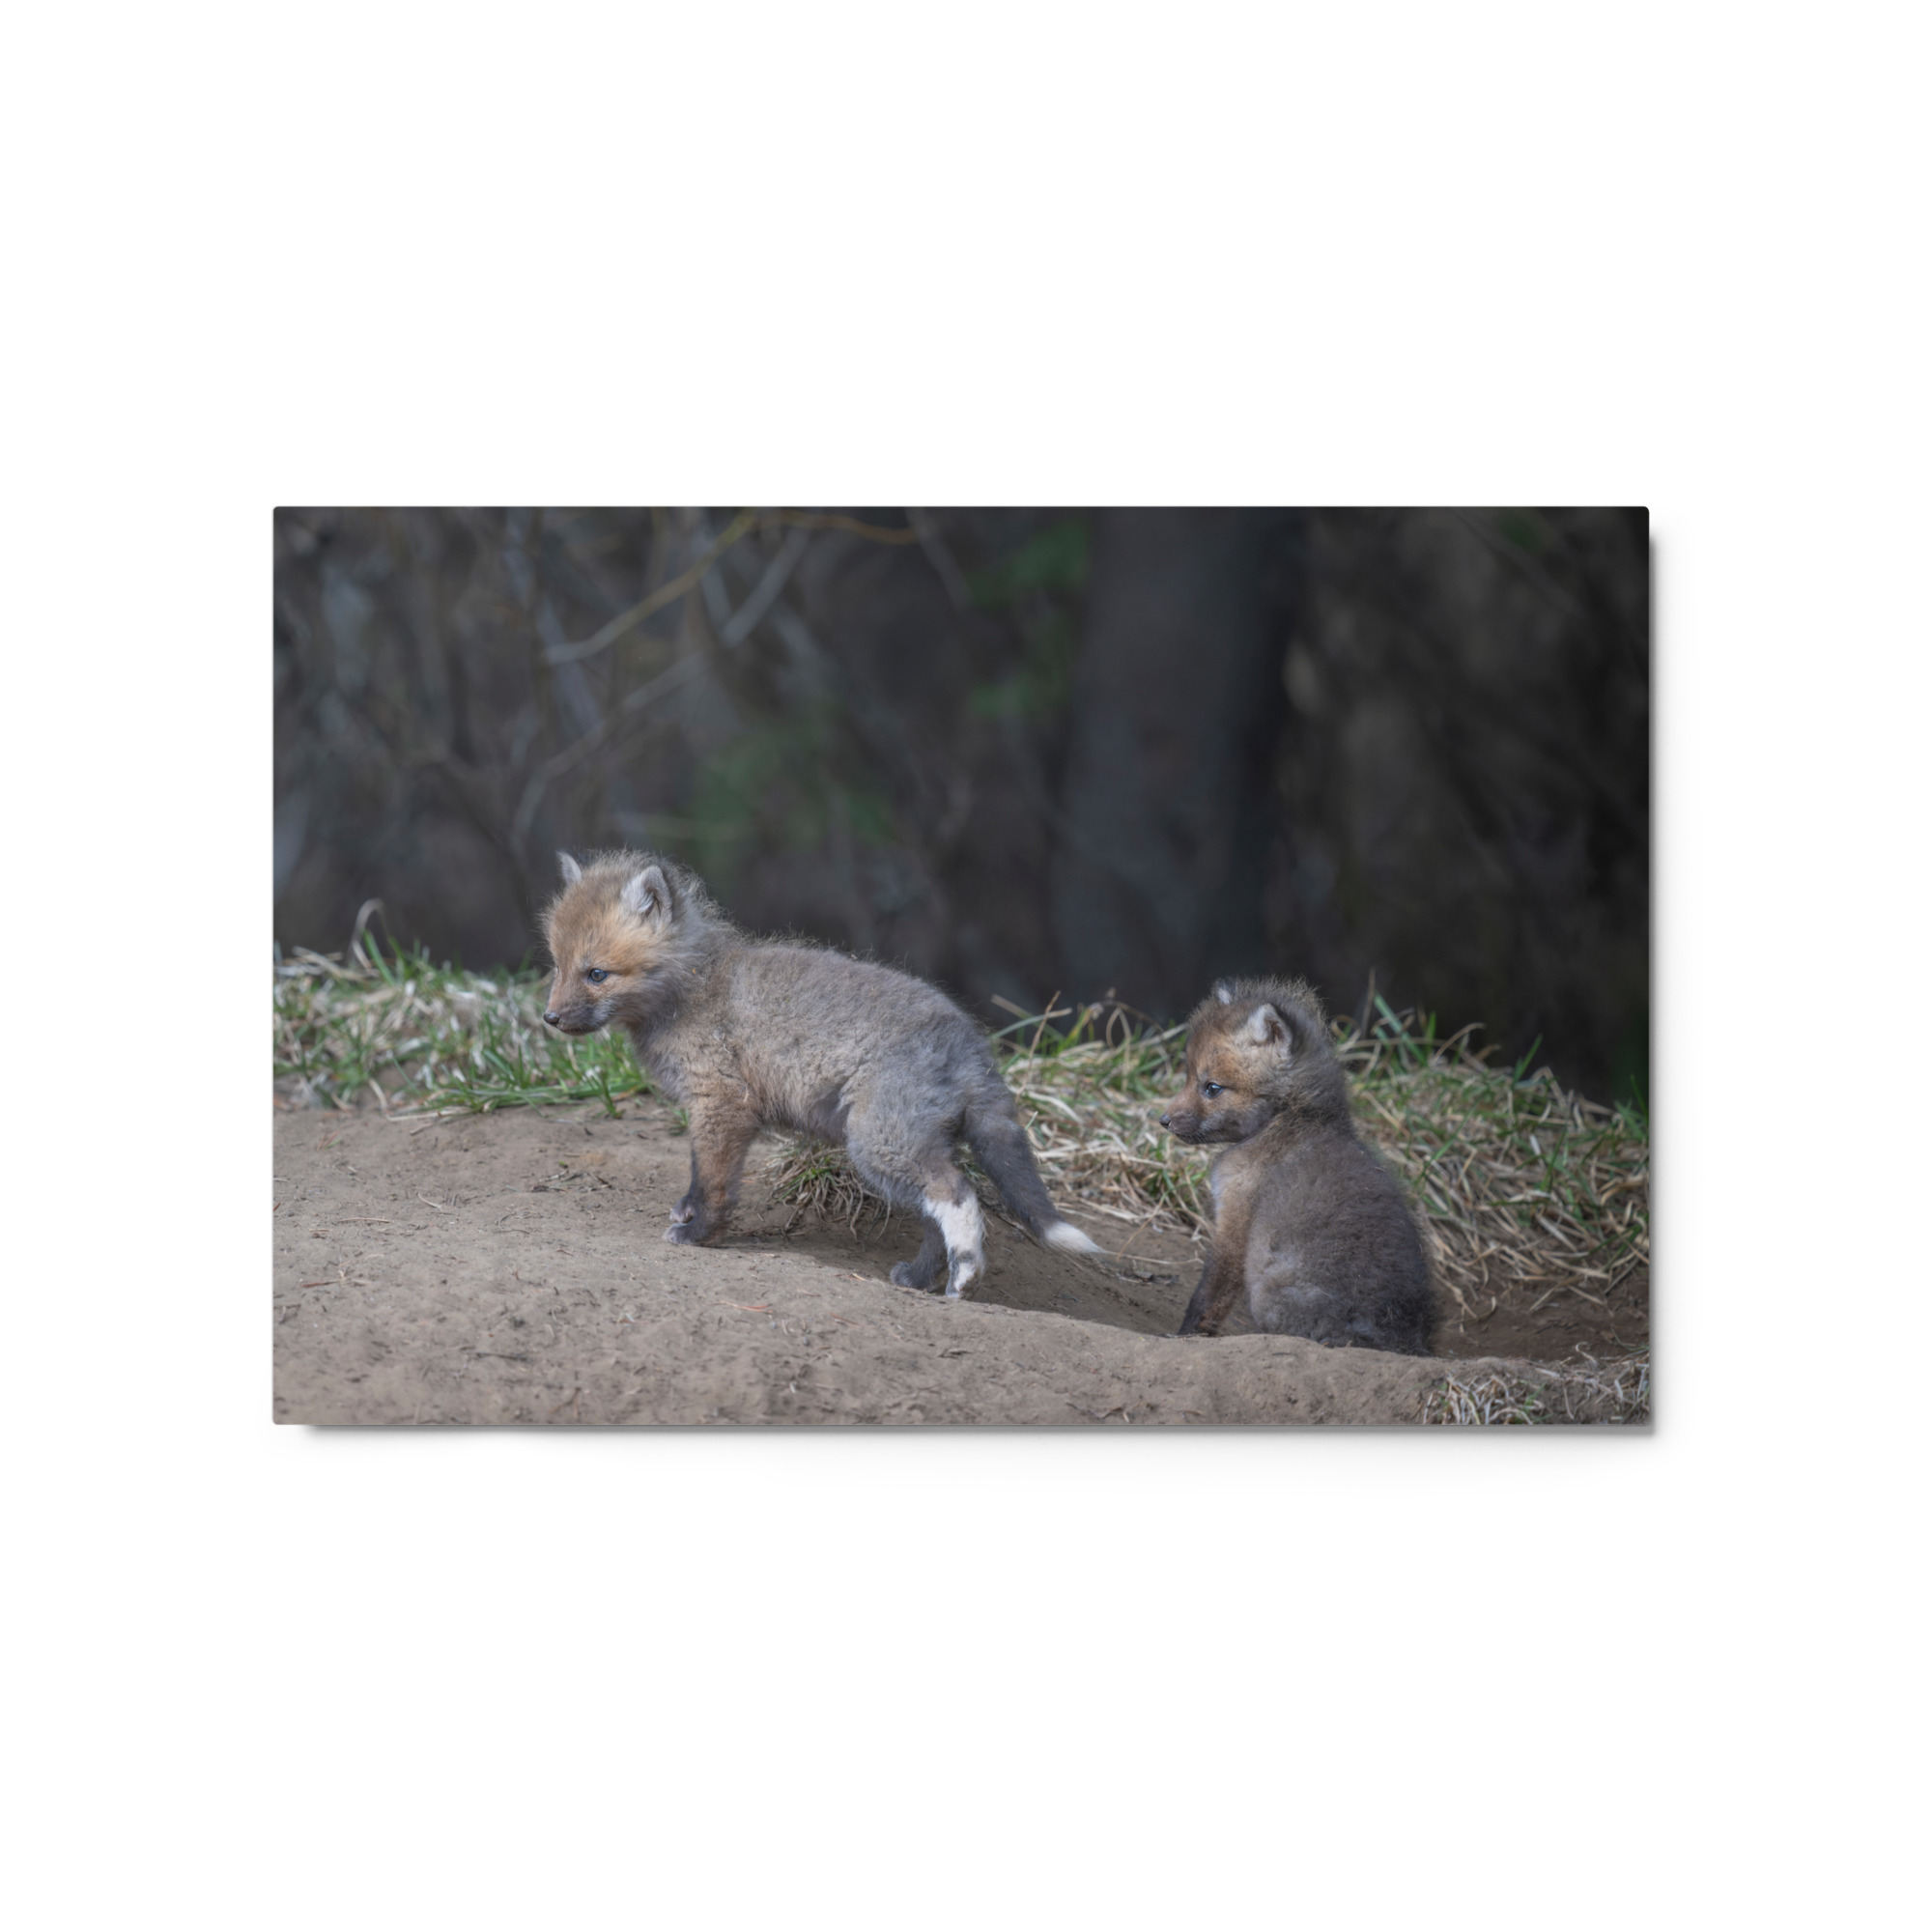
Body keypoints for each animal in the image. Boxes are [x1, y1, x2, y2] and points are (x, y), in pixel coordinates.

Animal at [540, 849, 1100, 1296]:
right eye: (557, 966)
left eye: (597, 974)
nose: (549, 1019)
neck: (692, 988)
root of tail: (972, 1044)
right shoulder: (716, 1111)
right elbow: (700, 1176)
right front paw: (689, 1213)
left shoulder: (722, 1103)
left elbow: (714, 1181)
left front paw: (699, 1235)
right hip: (905, 1148)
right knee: (935, 1217)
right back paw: (920, 1279)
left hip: (879, 1144)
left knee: (958, 1194)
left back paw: (965, 1276)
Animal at [1159, 977, 1435, 1353]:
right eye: (1188, 1076)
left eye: (1212, 1088)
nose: (1163, 1120)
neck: (1290, 1119)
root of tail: (1396, 1338)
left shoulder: (1235, 1220)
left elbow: (1208, 1295)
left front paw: (1184, 1336)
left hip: (1267, 1294)